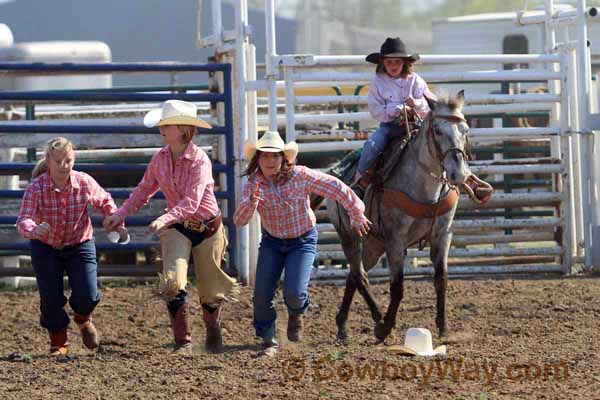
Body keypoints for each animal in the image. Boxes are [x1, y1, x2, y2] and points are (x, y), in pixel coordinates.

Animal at [324, 91, 468, 340]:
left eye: (465, 130)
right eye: (438, 130)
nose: (459, 174)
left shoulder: (443, 235)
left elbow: (441, 279)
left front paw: (443, 328)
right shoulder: (396, 240)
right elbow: (397, 286)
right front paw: (385, 327)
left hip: (373, 244)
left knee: (354, 274)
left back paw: (342, 325)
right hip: (349, 235)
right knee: (359, 275)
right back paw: (377, 319)